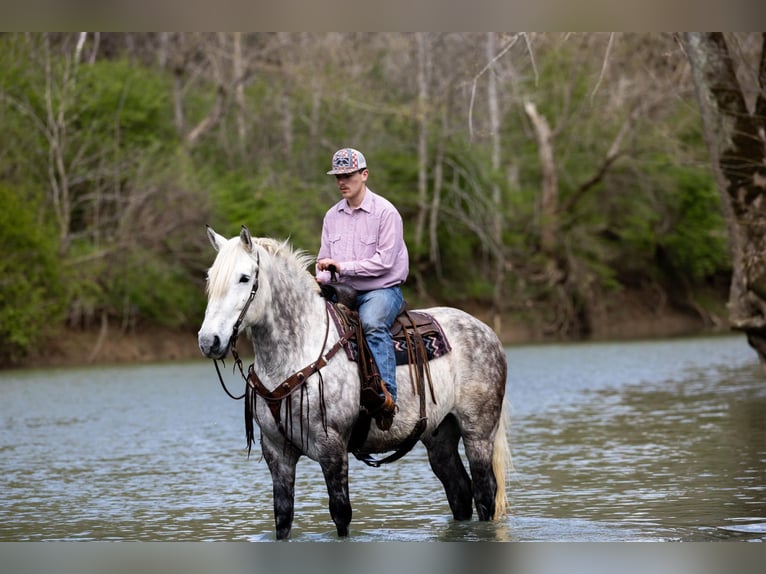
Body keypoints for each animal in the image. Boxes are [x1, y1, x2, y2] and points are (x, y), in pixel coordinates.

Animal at [198, 227, 510, 544]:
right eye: (211, 277)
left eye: (244, 278)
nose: (209, 341)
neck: (298, 350)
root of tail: (487, 331)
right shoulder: (277, 450)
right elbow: (283, 516)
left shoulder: (332, 445)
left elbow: (341, 512)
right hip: (440, 435)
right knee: (459, 492)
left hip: (478, 432)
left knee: (485, 493)